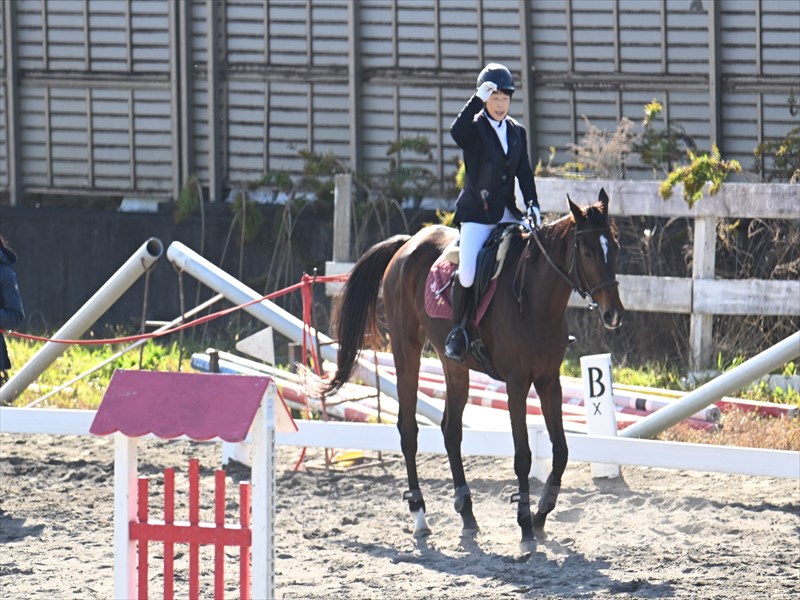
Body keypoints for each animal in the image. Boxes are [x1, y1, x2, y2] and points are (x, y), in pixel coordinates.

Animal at [324, 188, 624, 551]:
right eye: (589, 252)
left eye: (615, 247)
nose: (613, 314)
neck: (533, 299)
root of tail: (408, 243)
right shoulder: (517, 384)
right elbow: (523, 455)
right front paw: (525, 527)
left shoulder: (549, 381)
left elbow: (562, 450)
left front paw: (540, 515)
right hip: (406, 350)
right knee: (408, 430)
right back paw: (420, 516)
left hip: (454, 366)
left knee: (451, 430)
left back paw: (467, 514)